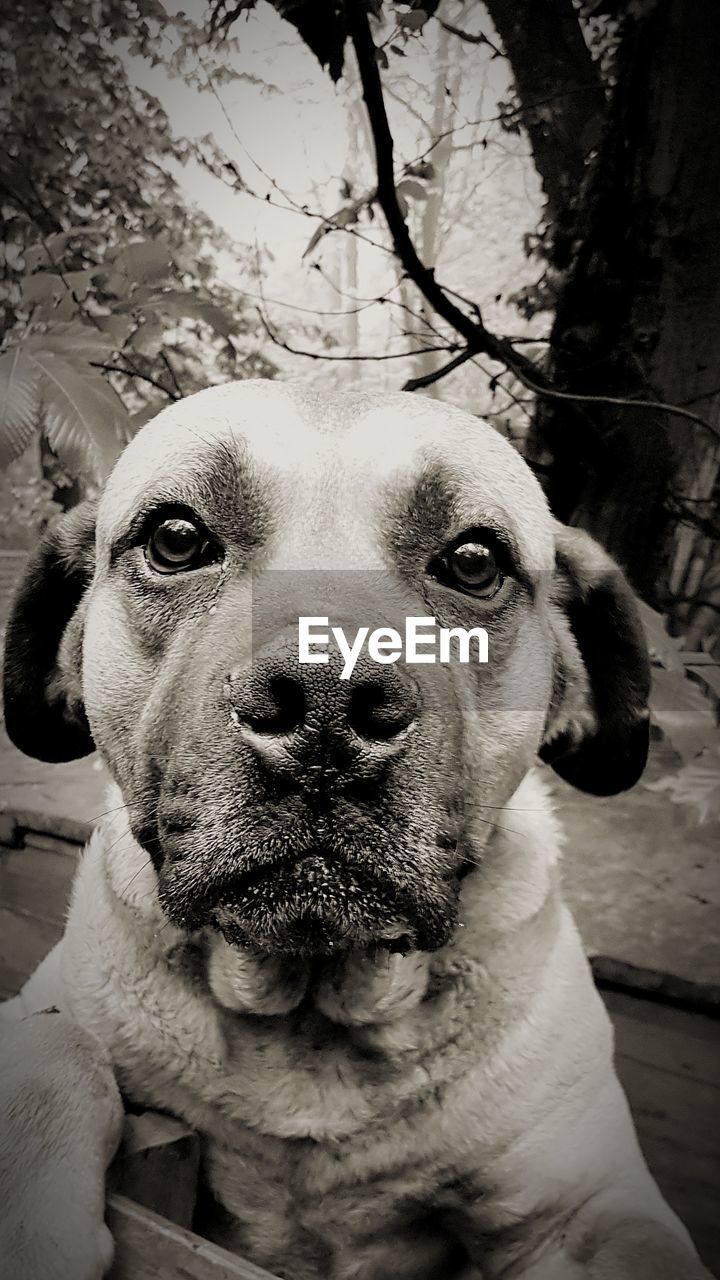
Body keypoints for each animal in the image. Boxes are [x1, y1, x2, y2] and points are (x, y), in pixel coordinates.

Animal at [0, 378, 707, 1280]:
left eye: (474, 561)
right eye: (177, 538)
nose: (326, 706)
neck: (308, 1006)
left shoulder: (587, 1208)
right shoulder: (50, 1014)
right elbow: (52, 1048)